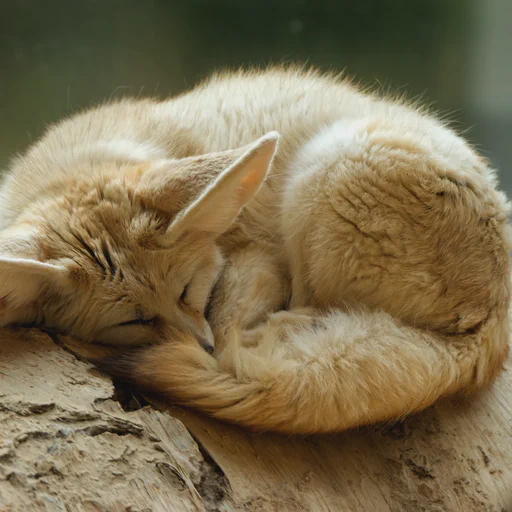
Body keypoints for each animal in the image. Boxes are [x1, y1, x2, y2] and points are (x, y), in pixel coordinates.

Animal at [0, 68, 510, 434]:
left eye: (188, 290)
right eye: (133, 321)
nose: (201, 346)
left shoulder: (257, 256)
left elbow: (230, 331)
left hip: (323, 171)